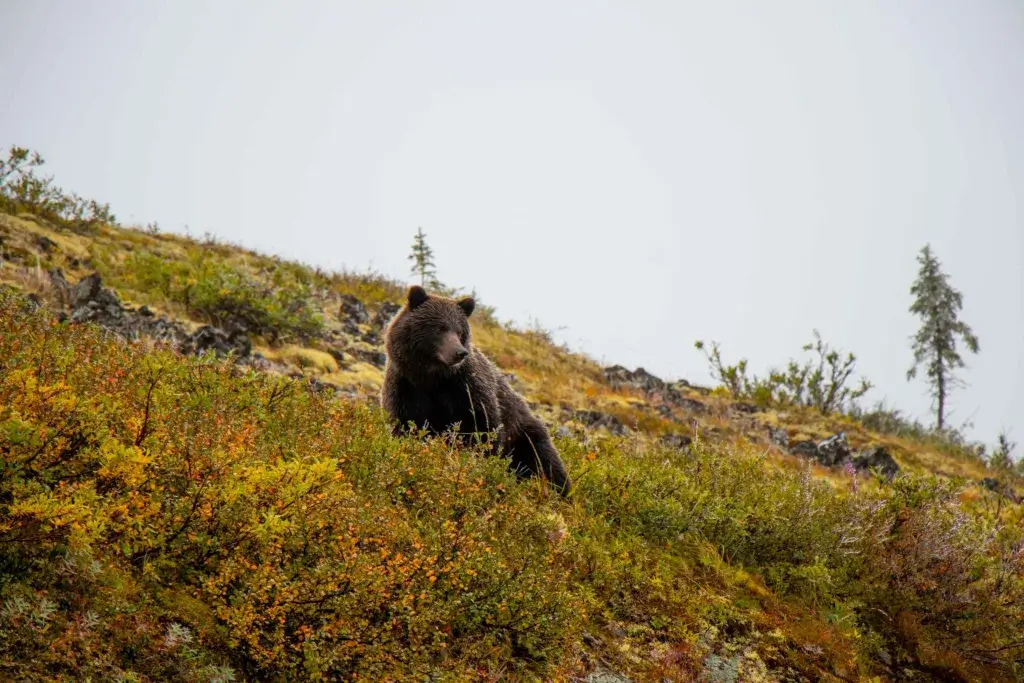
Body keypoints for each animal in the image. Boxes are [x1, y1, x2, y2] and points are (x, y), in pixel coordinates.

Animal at [380, 285, 571, 496]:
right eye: (440, 327)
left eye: (459, 330)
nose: (459, 352)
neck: (430, 377)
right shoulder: (406, 388)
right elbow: (406, 425)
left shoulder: (466, 389)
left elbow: (483, 428)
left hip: (525, 433)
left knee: (543, 460)